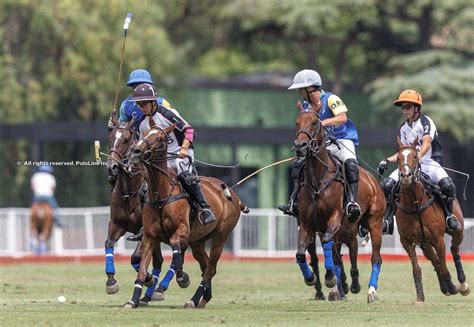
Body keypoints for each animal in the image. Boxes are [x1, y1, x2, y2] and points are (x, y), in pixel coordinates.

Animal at [124, 125, 248, 310]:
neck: (161, 194)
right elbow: (142, 266)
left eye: (160, 138)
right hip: (198, 242)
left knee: (210, 268)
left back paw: (194, 299)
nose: (136, 151)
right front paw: (133, 300)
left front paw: (182, 277)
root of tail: (235, 196)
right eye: (143, 134)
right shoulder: (149, 236)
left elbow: (175, 246)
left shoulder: (182, 230)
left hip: (221, 235)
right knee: (206, 267)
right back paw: (202, 299)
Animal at [292, 107, 386, 302]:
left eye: (315, 122)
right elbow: (301, 254)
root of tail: (374, 180)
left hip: (374, 223)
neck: (318, 179)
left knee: (376, 258)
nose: (300, 146)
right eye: (296, 123)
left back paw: (371, 291)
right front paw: (312, 278)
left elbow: (331, 246)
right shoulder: (307, 224)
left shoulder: (335, 217)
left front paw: (331, 279)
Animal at [394, 138, 468, 302]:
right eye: (398, 158)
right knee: (435, 260)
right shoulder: (407, 241)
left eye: (415, 156)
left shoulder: (438, 239)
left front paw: (452, 286)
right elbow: (417, 269)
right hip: (424, 243)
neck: (415, 204)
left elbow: (445, 266)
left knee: (454, 250)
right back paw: (445, 288)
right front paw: (420, 297)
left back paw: (462, 285)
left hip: (457, 231)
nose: (406, 176)